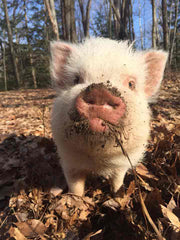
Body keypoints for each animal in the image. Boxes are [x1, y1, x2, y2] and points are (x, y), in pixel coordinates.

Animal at [50, 38, 168, 197]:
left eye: (131, 84)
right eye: (76, 79)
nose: (99, 92)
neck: (98, 159)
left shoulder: (122, 163)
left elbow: (117, 180)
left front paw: (117, 194)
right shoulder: (69, 162)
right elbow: (76, 186)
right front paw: (76, 198)